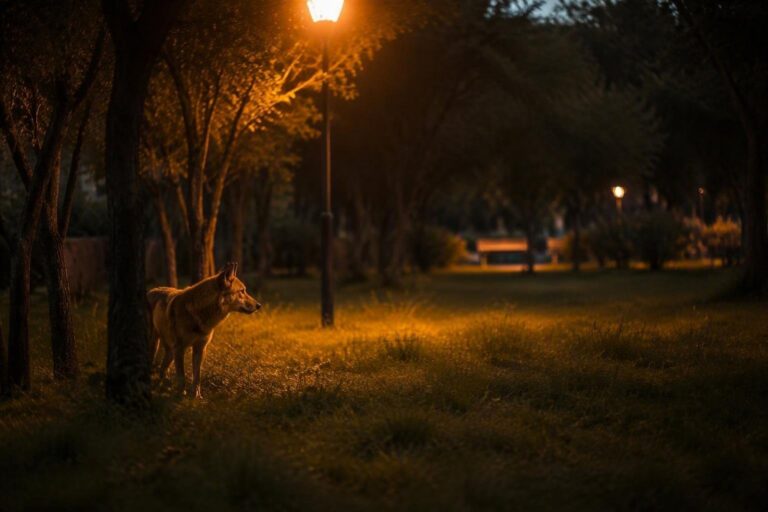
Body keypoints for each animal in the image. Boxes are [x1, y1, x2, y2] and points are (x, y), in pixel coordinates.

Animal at [147, 262, 260, 399]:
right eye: (242, 291)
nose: (259, 305)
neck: (198, 314)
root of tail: (150, 290)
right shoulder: (180, 348)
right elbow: (181, 376)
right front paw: (181, 395)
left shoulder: (200, 348)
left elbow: (197, 377)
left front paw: (196, 397)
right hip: (155, 344)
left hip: (170, 351)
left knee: (162, 369)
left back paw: (162, 387)